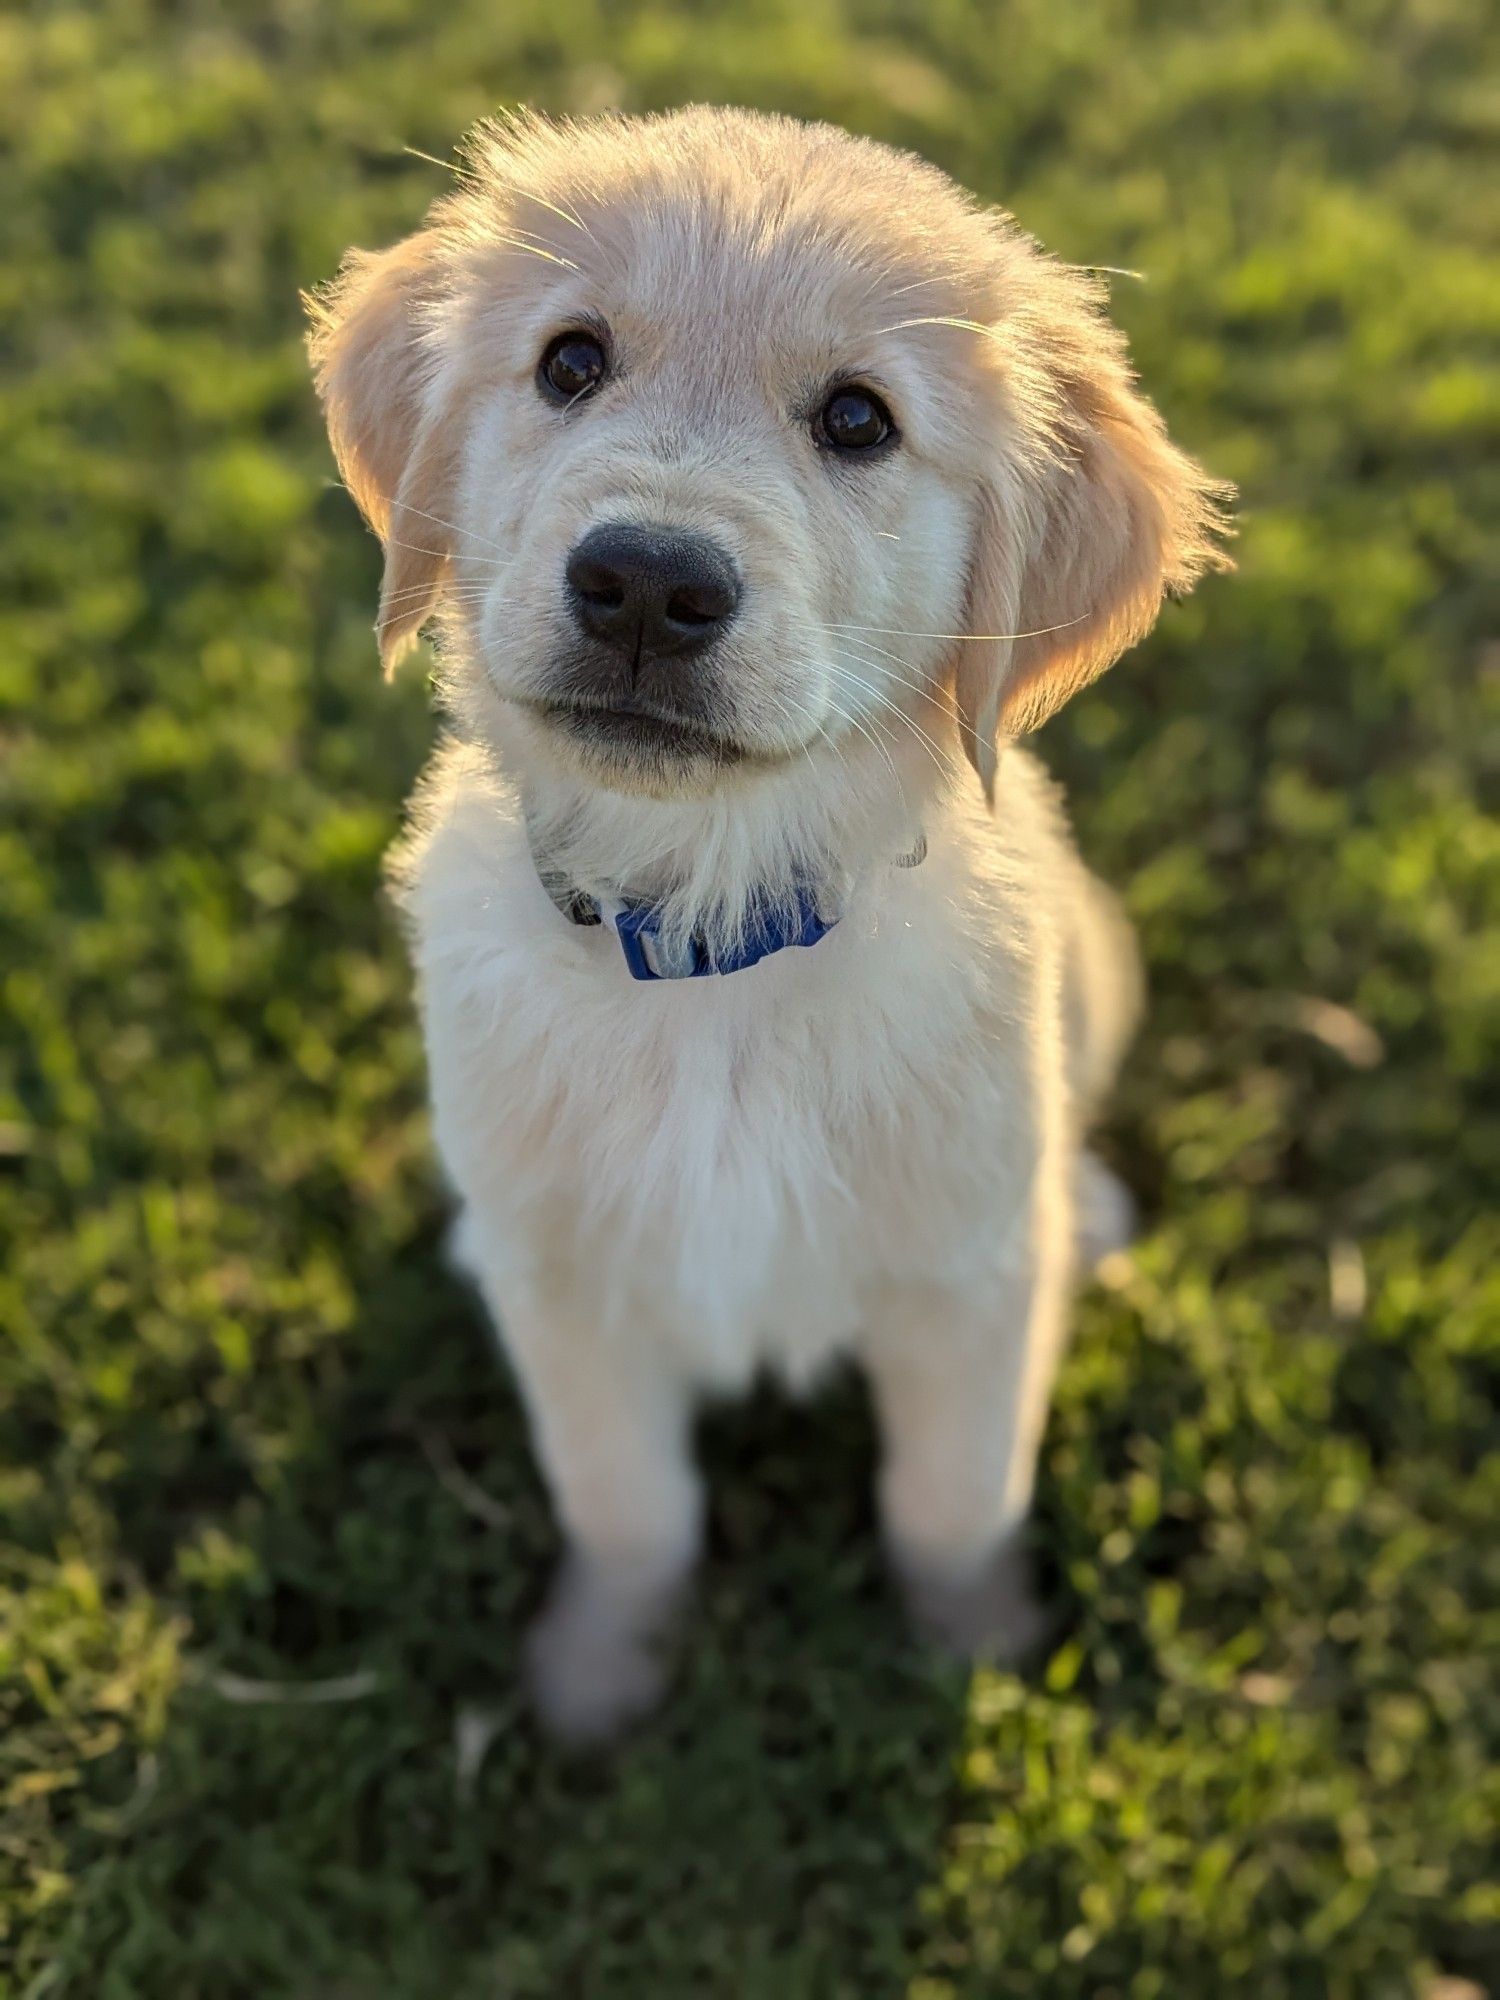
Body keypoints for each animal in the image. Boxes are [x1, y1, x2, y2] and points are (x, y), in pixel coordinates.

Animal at [306, 105, 1232, 1736]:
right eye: (570, 362)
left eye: (859, 420)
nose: (644, 583)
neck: (709, 936)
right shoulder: (573, 1294)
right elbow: (629, 1507)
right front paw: (598, 1681)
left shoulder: (967, 1284)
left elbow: (952, 1497)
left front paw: (973, 1654)